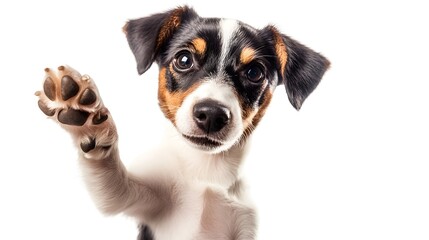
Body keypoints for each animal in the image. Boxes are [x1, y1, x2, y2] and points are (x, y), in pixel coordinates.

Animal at [36, 5, 328, 240]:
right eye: (184, 59)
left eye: (254, 72)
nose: (212, 114)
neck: (207, 172)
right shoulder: (139, 201)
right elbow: (109, 177)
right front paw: (87, 120)